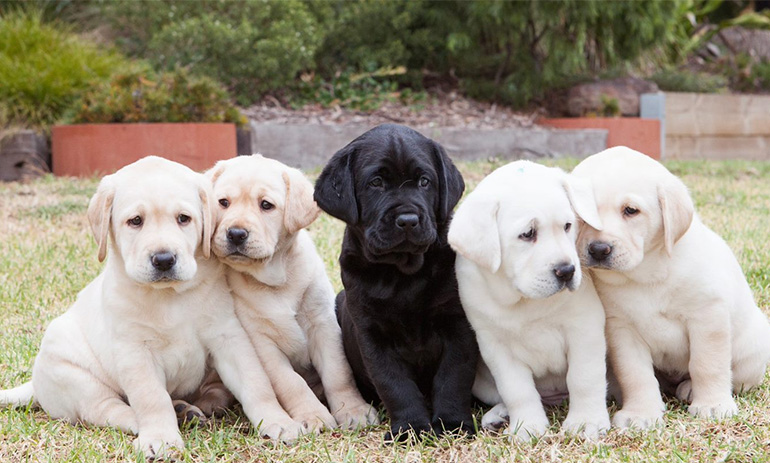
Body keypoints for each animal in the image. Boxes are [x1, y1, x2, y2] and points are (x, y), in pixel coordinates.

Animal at [0, 157, 306, 460]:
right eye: (135, 221)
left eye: (183, 218)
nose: (164, 259)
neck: (170, 295)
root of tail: (35, 385)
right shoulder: (135, 352)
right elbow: (151, 398)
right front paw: (160, 438)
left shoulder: (228, 337)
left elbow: (256, 384)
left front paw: (278, 421)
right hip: (73, 374)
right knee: (106, 409)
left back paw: (186, 409)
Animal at [206, 155, 376, 432]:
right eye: (223, 203)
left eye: (266, 205)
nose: (236, 234)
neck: (276, 280)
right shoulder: (262, 343)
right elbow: (291, 383)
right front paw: (313, 415)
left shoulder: (323, 325)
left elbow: (339, 374)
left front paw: (352, 409)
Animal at [312, 124, 474, 442]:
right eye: (376, 183)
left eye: (425, 181)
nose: (408, 219)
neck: (402, 273)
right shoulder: (372, 334)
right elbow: (394, 383)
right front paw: (411, 428)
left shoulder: (457, 323)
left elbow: (453, 377)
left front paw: (452, 425)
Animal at [448, 162, 608, 442]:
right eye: (527, 234)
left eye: (567, 226)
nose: (567, 271)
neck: (525, 300)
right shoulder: (495, 346)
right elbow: (517, 390)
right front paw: (528, 427)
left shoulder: (584, 328)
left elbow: (584, 377)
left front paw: (586, 421)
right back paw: (499, 416)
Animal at [568, 147, 768, 430]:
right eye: (583, 214)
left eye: (631, 211)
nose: (598, 249)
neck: (646, 275)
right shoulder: (621, 329)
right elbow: (635, 374)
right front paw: (641, 412)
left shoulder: (708, 316)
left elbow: (707, 364)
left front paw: (712, 404)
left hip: (752, 350)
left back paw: (692, 389)